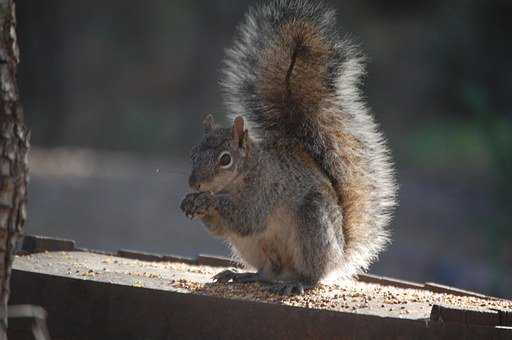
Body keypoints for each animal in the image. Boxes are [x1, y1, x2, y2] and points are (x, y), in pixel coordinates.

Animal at [180, 0, 396, 294]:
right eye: (193, 153)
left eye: (225, 159)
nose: (195, 184)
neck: (242, 174)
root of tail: (339, 256)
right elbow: (221, 229)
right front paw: (190, 201)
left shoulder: (265, 190)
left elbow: (247, 218)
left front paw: (207, 200)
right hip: (255, 248)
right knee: (269, 272)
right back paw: (244, 275)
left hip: (313, 225)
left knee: (312, 274)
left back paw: (297, 284)